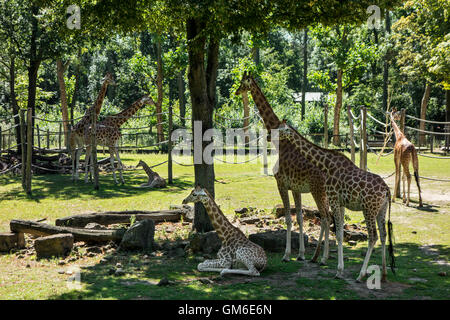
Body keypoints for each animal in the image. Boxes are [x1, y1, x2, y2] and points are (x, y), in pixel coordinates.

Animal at [234, 72, 332, 264]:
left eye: (242, 82)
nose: (235, 91)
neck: (280, 143)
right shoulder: (296, 188)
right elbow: (299, 217)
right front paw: (300, 254)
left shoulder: (281, 183)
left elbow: (288, 219)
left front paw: (287, 255)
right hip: (325, 194)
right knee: (331, 218)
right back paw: (320, 256)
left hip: (318, 191)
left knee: (325, 218)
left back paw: (322, 257)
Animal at [276, 120, 396, 282]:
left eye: (281, 129)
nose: (271, 135)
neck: (326, 165)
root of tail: (387, 191)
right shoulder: (340, 202)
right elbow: (339, 231)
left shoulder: (333, 198)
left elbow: (338, 233)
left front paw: (339, 271)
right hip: (381, 210)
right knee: (383, 235)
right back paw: (383, 275)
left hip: (368, 209)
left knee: (373, 237)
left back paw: (361, 275)